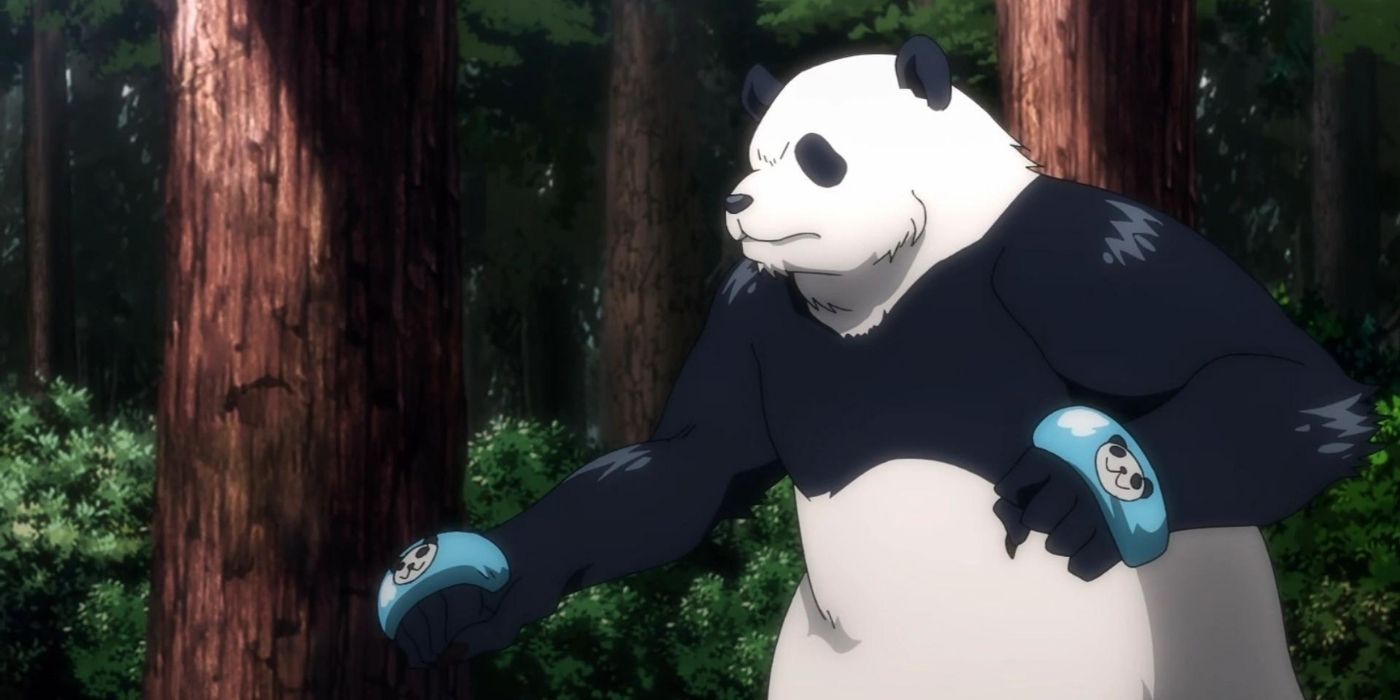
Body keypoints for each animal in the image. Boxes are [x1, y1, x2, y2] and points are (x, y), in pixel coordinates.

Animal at [376, 36, 1377, 699]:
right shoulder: (753, 313)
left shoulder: (1070, 261)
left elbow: (1291, 382)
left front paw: (1072, 495)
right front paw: (453, 590)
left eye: (819, 157)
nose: (737, 202)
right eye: (757, 155)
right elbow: (688, 465)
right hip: (823, 668)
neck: (876, 288)